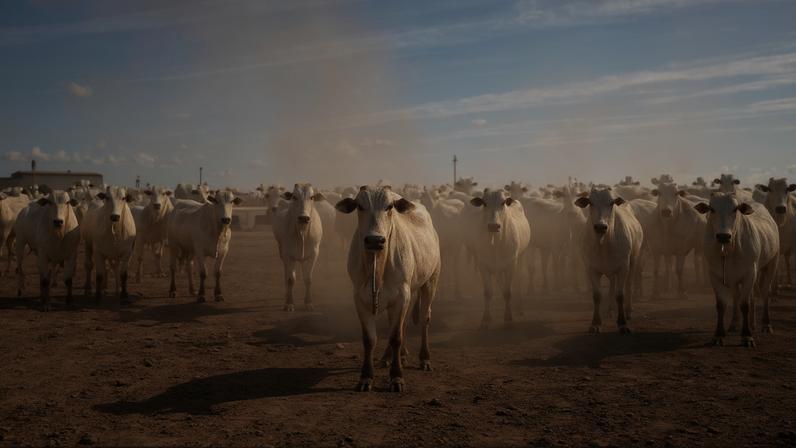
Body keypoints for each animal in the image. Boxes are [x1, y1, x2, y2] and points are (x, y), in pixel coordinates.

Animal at [335, 186, 440, 392]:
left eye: (389, 206)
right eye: (360, 206)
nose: (375, 240)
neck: (377, 265)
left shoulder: (401, 296)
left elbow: (395, 337)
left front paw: (397, 377)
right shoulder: (359, 298)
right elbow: (370, 338)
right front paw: (366, 377)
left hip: (430, 281)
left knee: (424, 318)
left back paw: (424, 359)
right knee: (400, 323)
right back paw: (389, 357)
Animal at [467, 188, 531, 328]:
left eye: (503, 203)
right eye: (484, 203)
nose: (493, 226)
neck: (496, 243)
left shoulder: (511, 264)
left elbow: (507, 292)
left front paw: (508, 316)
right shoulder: (483, 265)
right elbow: (488, 292)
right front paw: (486, 318)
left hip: (521, 258)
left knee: (518, 280)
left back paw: (520, 307)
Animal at [575, 187, 643, 334]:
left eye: (611, 203)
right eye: (590, 202)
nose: (600, 226)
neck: (604, 244)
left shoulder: (623, 267)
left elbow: (620, 295)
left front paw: (622, 323)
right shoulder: (591, 268)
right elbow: (597, 295)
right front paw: (595, 323)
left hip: (634, 261)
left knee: (628, 284)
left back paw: (628, 311)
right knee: (612, 284)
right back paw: (610, 309)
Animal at [694, 193, 779, 347]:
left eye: (735, 209)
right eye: (712, 209)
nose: (723, 236)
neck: (729, 249)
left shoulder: (750, 273)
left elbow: (744, 304)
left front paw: (747, 336)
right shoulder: (715, 275)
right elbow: (721, 305)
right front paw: (718, 335)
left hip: (772, 263)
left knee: (764, 292)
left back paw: (765, 324)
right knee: (738, 296)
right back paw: (737, 323)